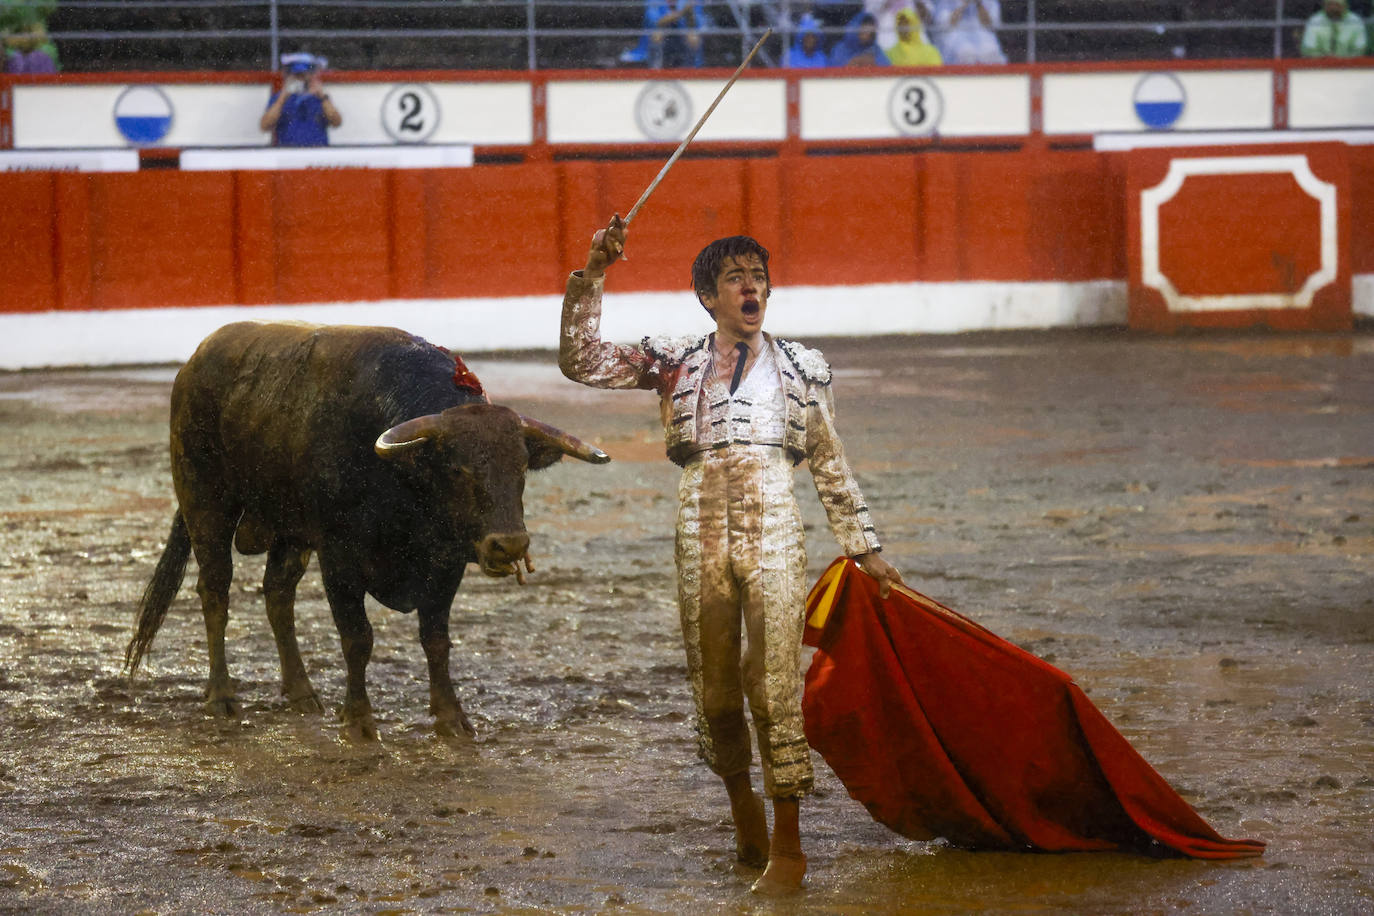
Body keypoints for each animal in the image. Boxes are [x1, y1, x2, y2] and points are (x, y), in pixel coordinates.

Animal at [126, 318, 610, 741]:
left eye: (522, 468)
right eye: (456, 468)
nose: (508, 544)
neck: (402, 483)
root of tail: (194, 362)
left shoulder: (445, 565)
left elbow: (436, 641)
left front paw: (451, 718)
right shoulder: (339, 560)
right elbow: (357, 639)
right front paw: (359, 721)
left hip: (289, 532)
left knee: (278, 593)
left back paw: (301, 692)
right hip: (206, 505)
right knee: (215, 592)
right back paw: (222, 696)